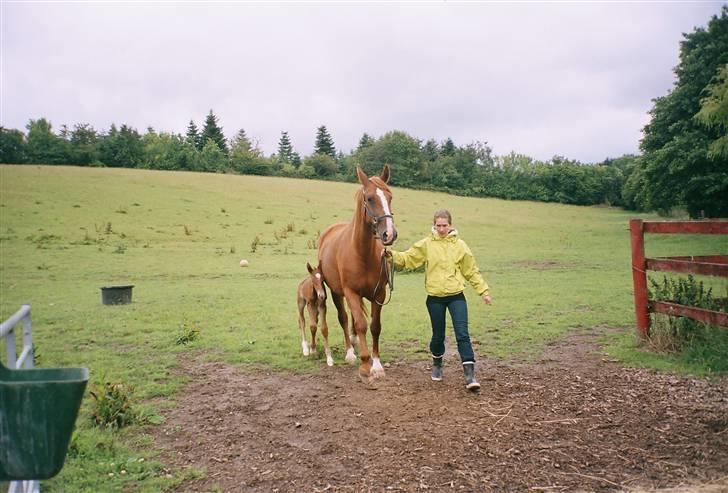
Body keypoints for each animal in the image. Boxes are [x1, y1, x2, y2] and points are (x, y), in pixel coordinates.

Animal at [318, 165, 398, 380]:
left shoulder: (379, 294)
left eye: (389, 197)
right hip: (337, 293)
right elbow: (361, 324)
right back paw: (350, 352)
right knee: (345, 318)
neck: (361, 253)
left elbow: (375, 326)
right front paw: (364, 364)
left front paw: (376, 364)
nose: (389, 234)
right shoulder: (351, 292)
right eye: (369, 198)